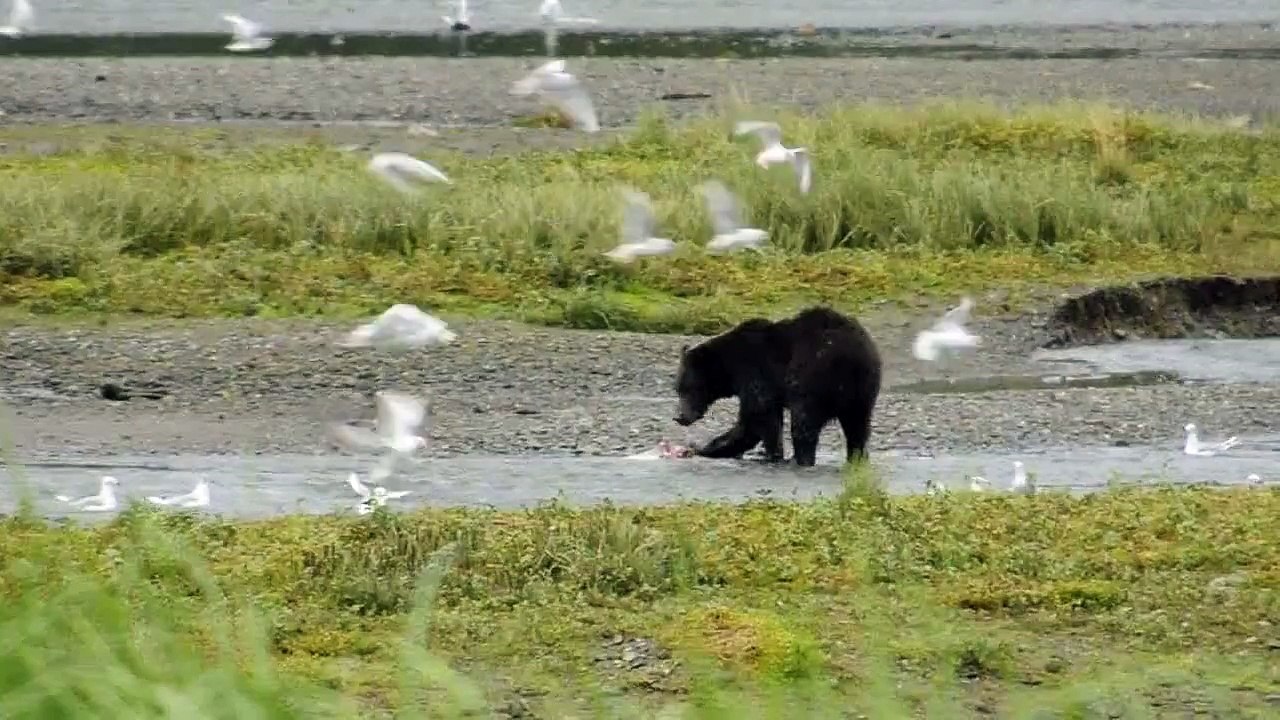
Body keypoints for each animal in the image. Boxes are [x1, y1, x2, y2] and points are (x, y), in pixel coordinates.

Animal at [672, 306, 882, 467]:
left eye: (688, 389)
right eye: (677, 389)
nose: (679, 417)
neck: (728, 368)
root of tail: (855, 356)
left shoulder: (754, 371)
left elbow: (757, 415)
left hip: (813, 375)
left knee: (803, 420)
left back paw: (800, 459)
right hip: (862, 390)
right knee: (857, 426)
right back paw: (856, 457)